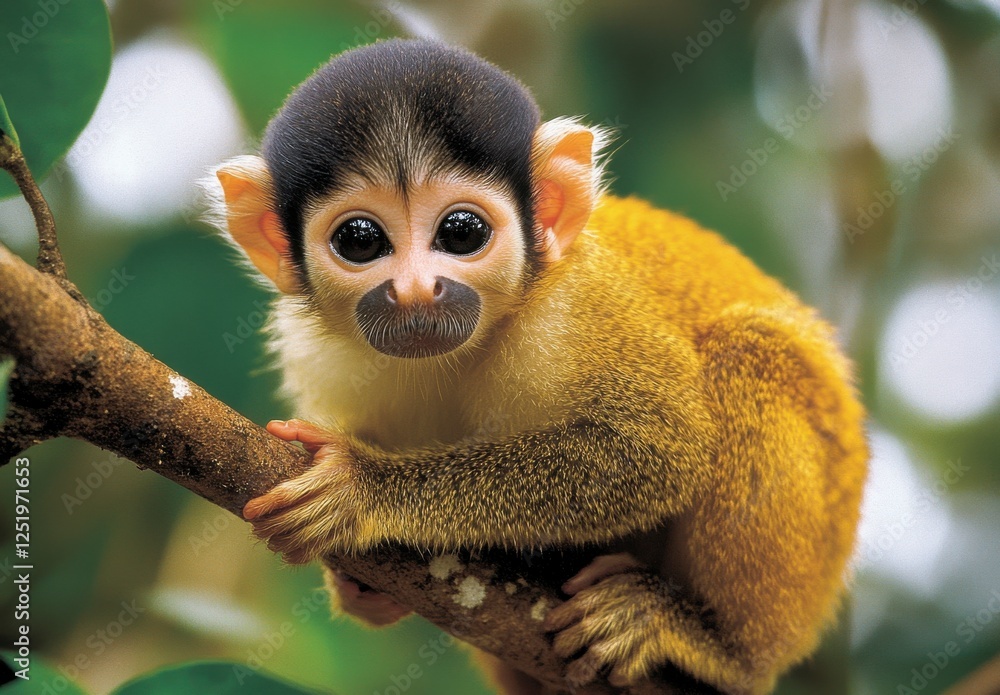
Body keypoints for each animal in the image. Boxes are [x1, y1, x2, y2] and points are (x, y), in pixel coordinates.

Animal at [205, 38, 867, 695]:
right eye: (360, 240)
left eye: (462, 232)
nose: (417, 291)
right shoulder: (315, 355)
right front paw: (360, 589)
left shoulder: (579, 299)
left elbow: (657, 448)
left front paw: (366, 490)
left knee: (749, 349)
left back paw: (717, 644)